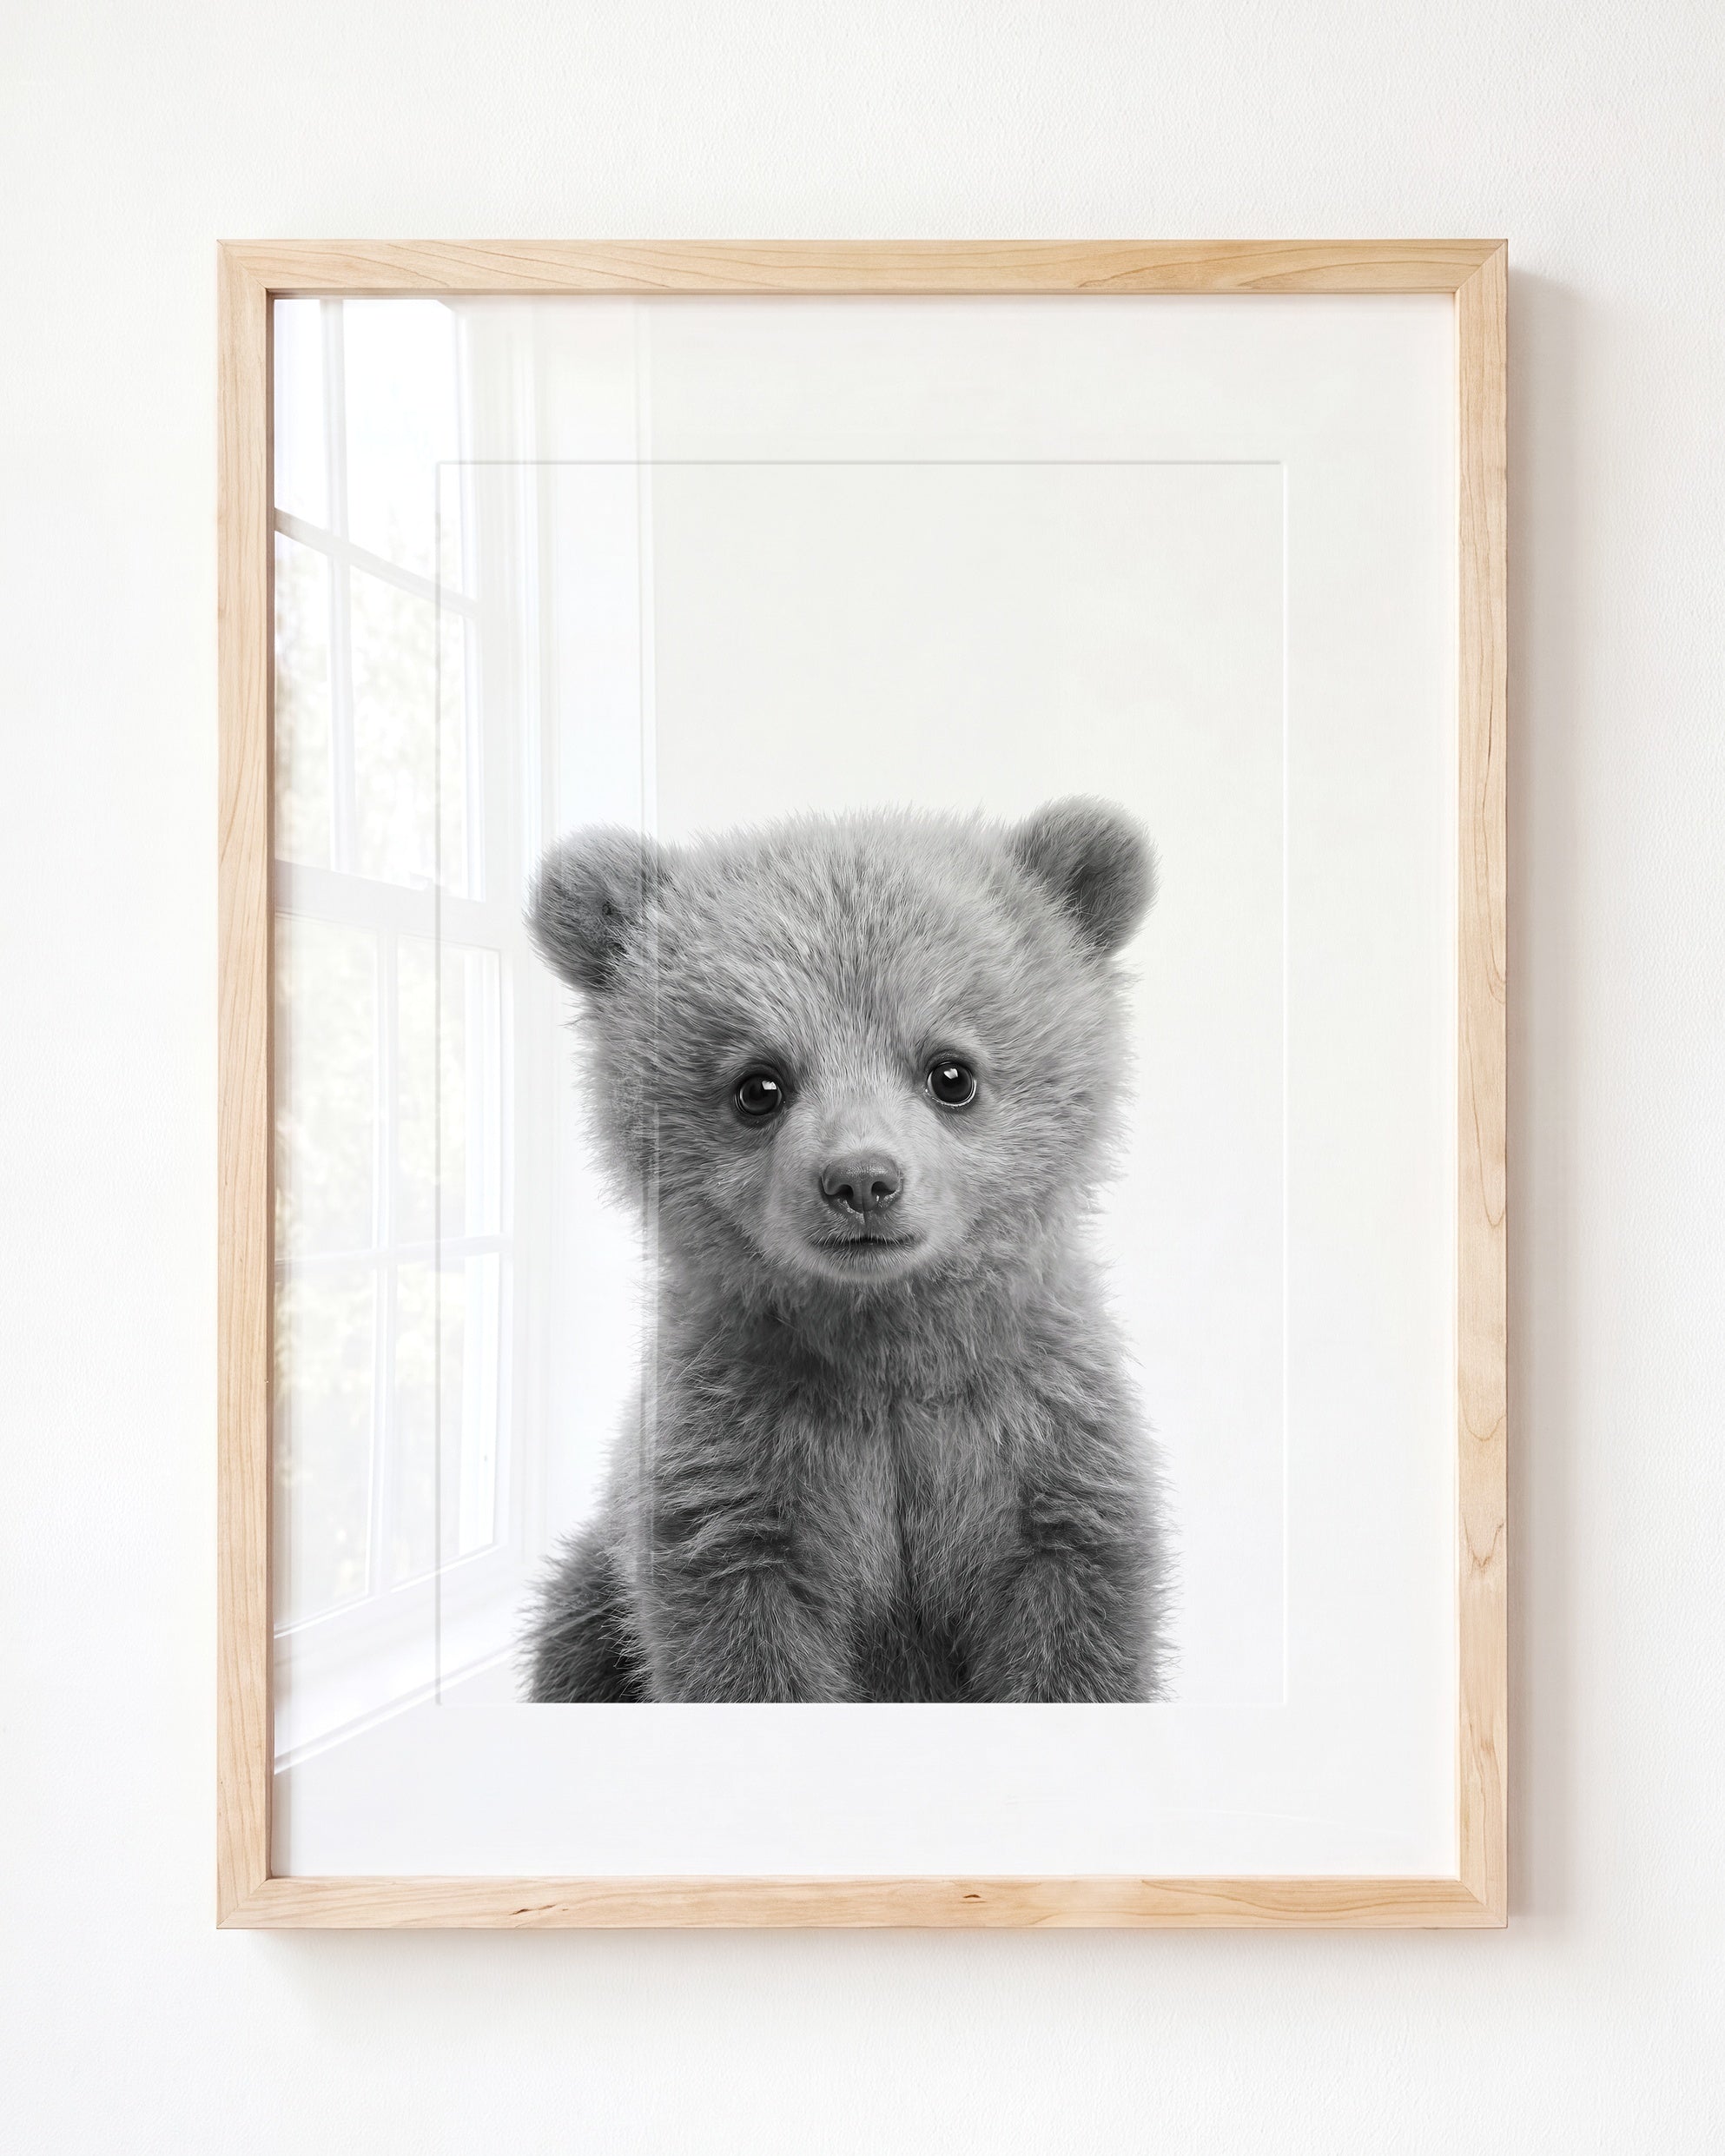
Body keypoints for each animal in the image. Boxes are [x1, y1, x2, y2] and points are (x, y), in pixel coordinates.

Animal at [521, 797, 1171, 1703]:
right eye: (758, 1085)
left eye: (951, 1072)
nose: (862, 1181)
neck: (884, 1346)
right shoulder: (738, 1476)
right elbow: (744, 1650)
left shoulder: (1041, 1452)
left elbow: (1075, 1636)